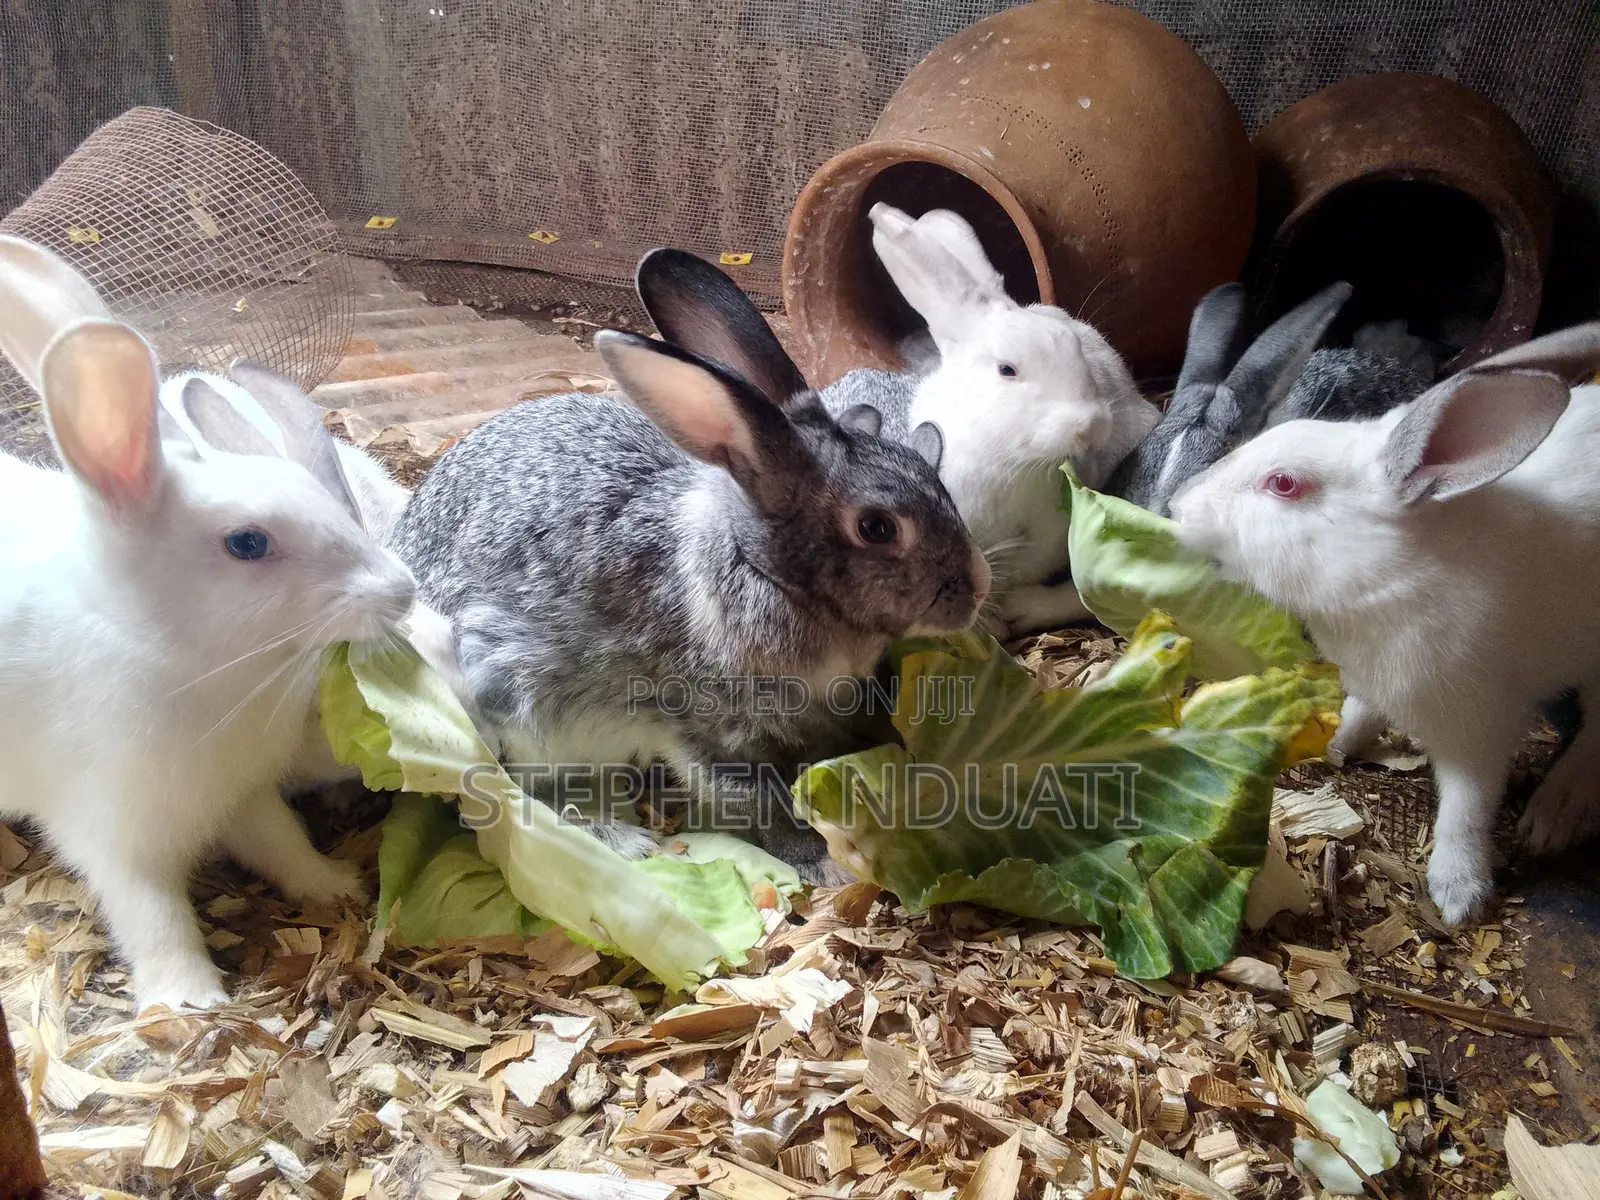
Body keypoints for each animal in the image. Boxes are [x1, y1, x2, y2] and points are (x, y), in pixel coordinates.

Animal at [0, 235, 418, 1011]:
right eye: (247, 543)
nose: (401, 590)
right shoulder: (115, 836)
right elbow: (154, 915)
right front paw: (190, 999)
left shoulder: (243, 795)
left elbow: (282, 842)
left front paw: (336, 884)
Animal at [390, 247, 990, 883]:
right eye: (877, 527)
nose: (978, 586)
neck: (759, 570)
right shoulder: (703, 727)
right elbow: (756, 798)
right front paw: (822, 863)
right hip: (513, 705)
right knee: (522, 794)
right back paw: (621, 838)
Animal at [856, 202, 1159, 637]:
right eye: (1007, 370)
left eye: (1075, 348)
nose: (1093, 427)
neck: (1005, 460)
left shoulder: (1044, 536)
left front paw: (1002, 617)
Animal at [1168, 320, 1600, 927]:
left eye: (1284, 484)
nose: (1178, 505)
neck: (1388, 583)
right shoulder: (1374, 680)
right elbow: (1359, 712)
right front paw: (1330, 743)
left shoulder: (1478, 727)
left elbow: (1466, 809)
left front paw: (1458, 894)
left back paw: (1554, 814)